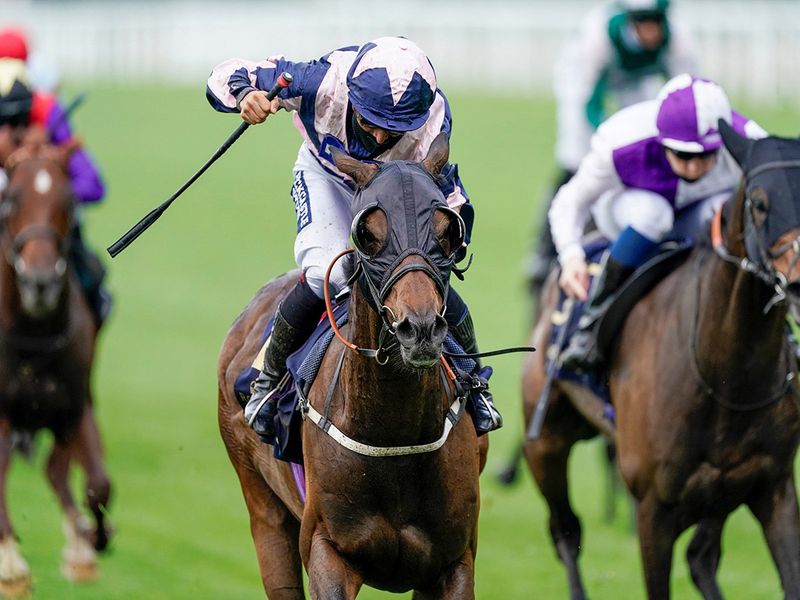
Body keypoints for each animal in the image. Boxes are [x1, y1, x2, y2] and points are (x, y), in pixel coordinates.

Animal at [520, 123, 800, 600]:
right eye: (761, 203)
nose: (799, 278)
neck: (726, 378)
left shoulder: (771, 486)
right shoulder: (654, 507)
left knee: (701, 556)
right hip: (545, 442)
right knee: (566, 532)